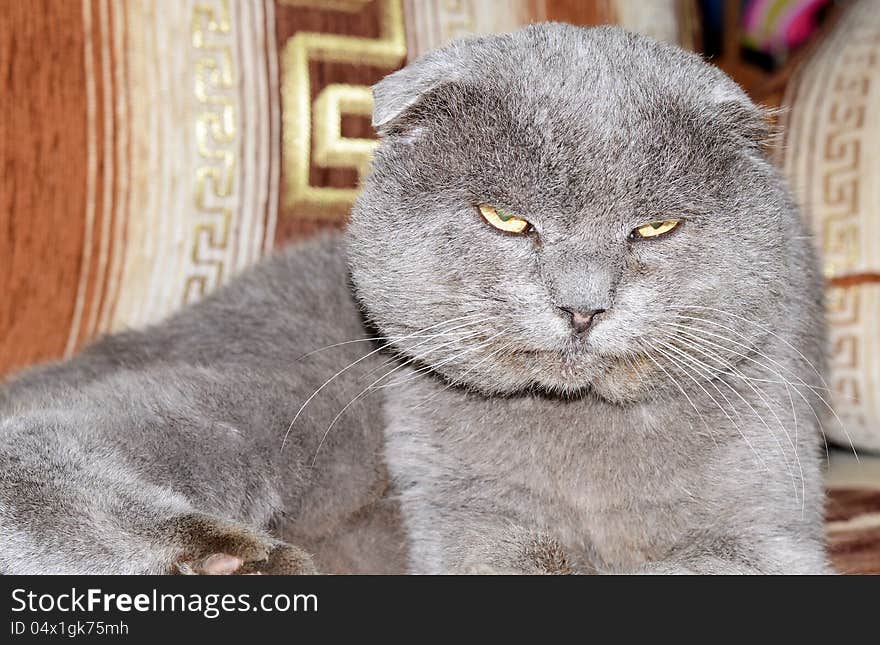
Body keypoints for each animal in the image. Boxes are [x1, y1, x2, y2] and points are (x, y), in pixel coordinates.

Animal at [0, 25, 832, 576]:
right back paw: (231, 560)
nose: (582, 305)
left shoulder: (766, 524)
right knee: (39, 441)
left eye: (655, 227)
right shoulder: (472, 515)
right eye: (506, 219)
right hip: (279, 393)